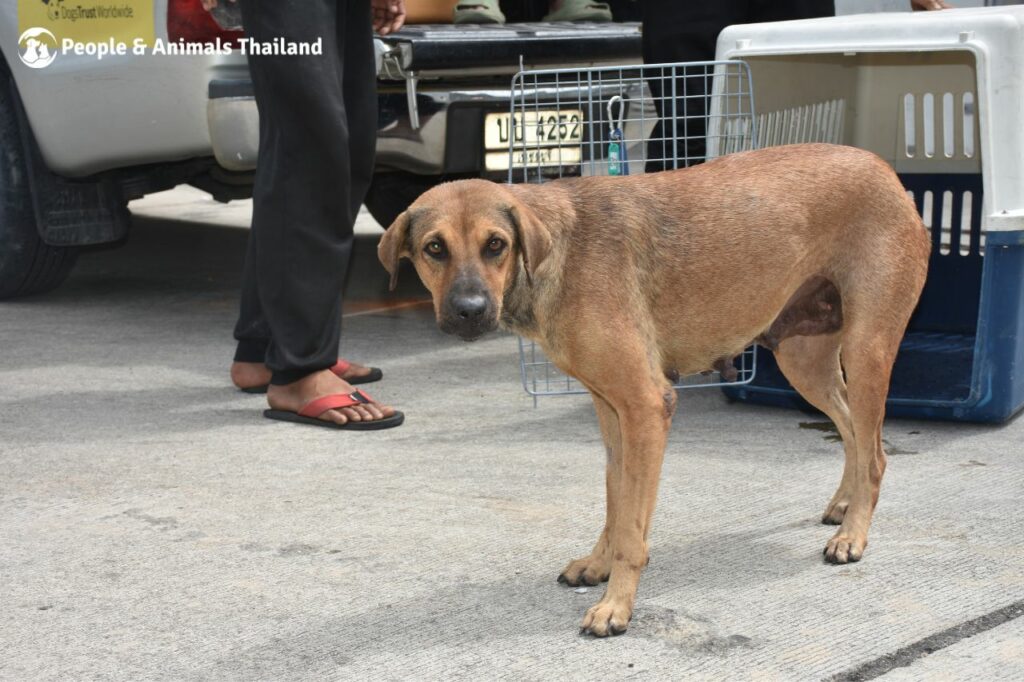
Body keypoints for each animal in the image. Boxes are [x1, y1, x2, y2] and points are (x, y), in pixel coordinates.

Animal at [380, 144, 933, 638]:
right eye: (434, 248)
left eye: (496, 244)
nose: (468, 311)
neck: (559, 253)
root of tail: (885, 170)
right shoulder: (612, 411)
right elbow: (616, 500)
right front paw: (598, 564)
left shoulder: (646, 406)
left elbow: (631, 528)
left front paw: (615, 606)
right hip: (805, 363)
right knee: (853, 432)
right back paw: (843, 505)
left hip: (866, 351)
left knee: (876, 453)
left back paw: (853, 535)